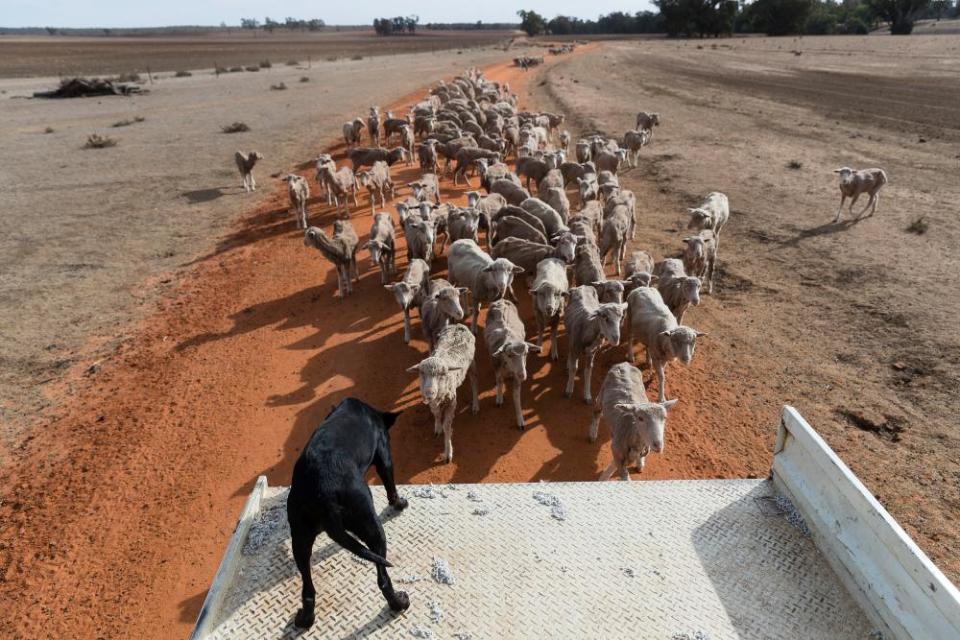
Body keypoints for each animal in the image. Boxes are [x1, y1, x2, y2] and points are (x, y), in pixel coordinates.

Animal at [284, 398, 406, 628]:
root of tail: (324, 495)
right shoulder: (384, 455)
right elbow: (390, 485)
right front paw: (400, 503)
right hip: (372, 527)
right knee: (383, 579)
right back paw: (400, 604)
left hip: (300, 541)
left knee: (308, 591)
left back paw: (304, 620)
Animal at [406, 322, 478, 462]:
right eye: (421, 373)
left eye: (442, 375)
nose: (429, 393)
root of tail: (458, 325)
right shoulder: (432, 402)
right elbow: (437, 414)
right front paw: (437, 427)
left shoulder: (452, 402)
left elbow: (447, 426)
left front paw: (448, 452)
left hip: (472, 363)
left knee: (474, 381)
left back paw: (476, 404)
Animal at [484, 300, 536, 430]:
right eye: (509, 355)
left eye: (526, 353)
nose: (523, 375)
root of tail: (501, 301)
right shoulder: (496, 367)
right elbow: (499, 381)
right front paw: (499, 397)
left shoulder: (517, 378)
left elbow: (516, 398)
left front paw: (520, 420)